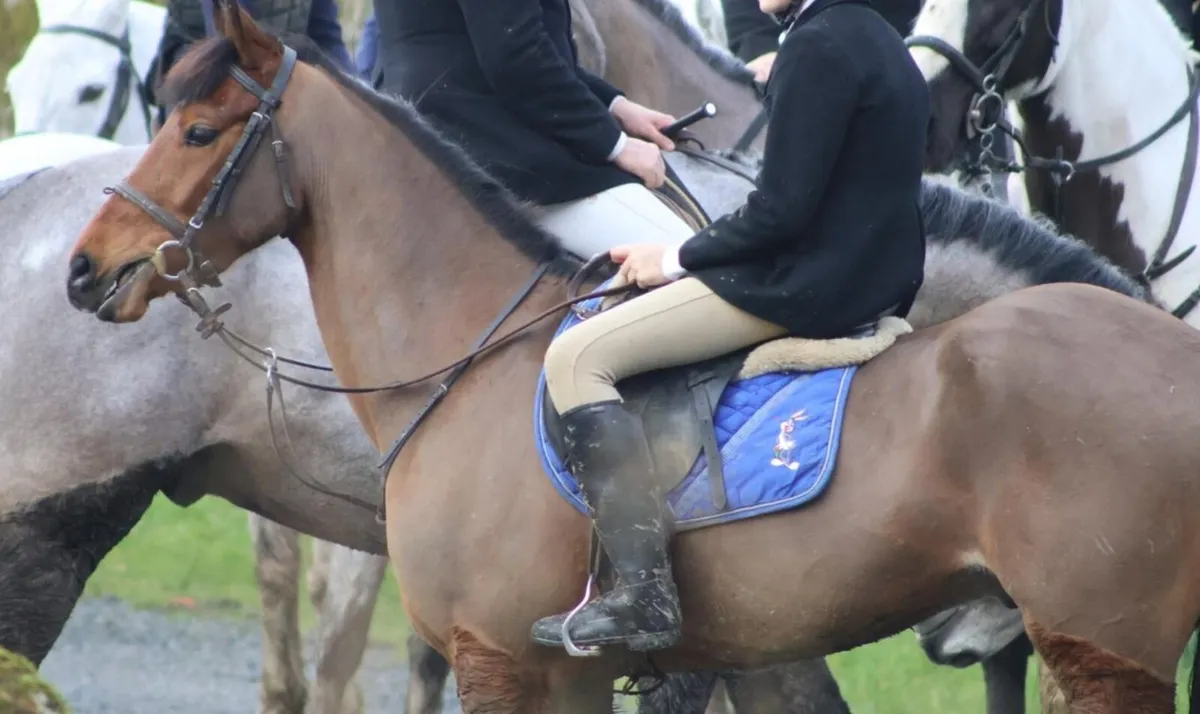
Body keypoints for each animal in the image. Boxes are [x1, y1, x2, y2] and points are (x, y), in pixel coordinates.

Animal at [69, 8, 1200, 713]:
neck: (466, 350)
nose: (87, 271)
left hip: (1103, 650)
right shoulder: (571, 671)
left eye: (198, 128)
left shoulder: (500, 660)